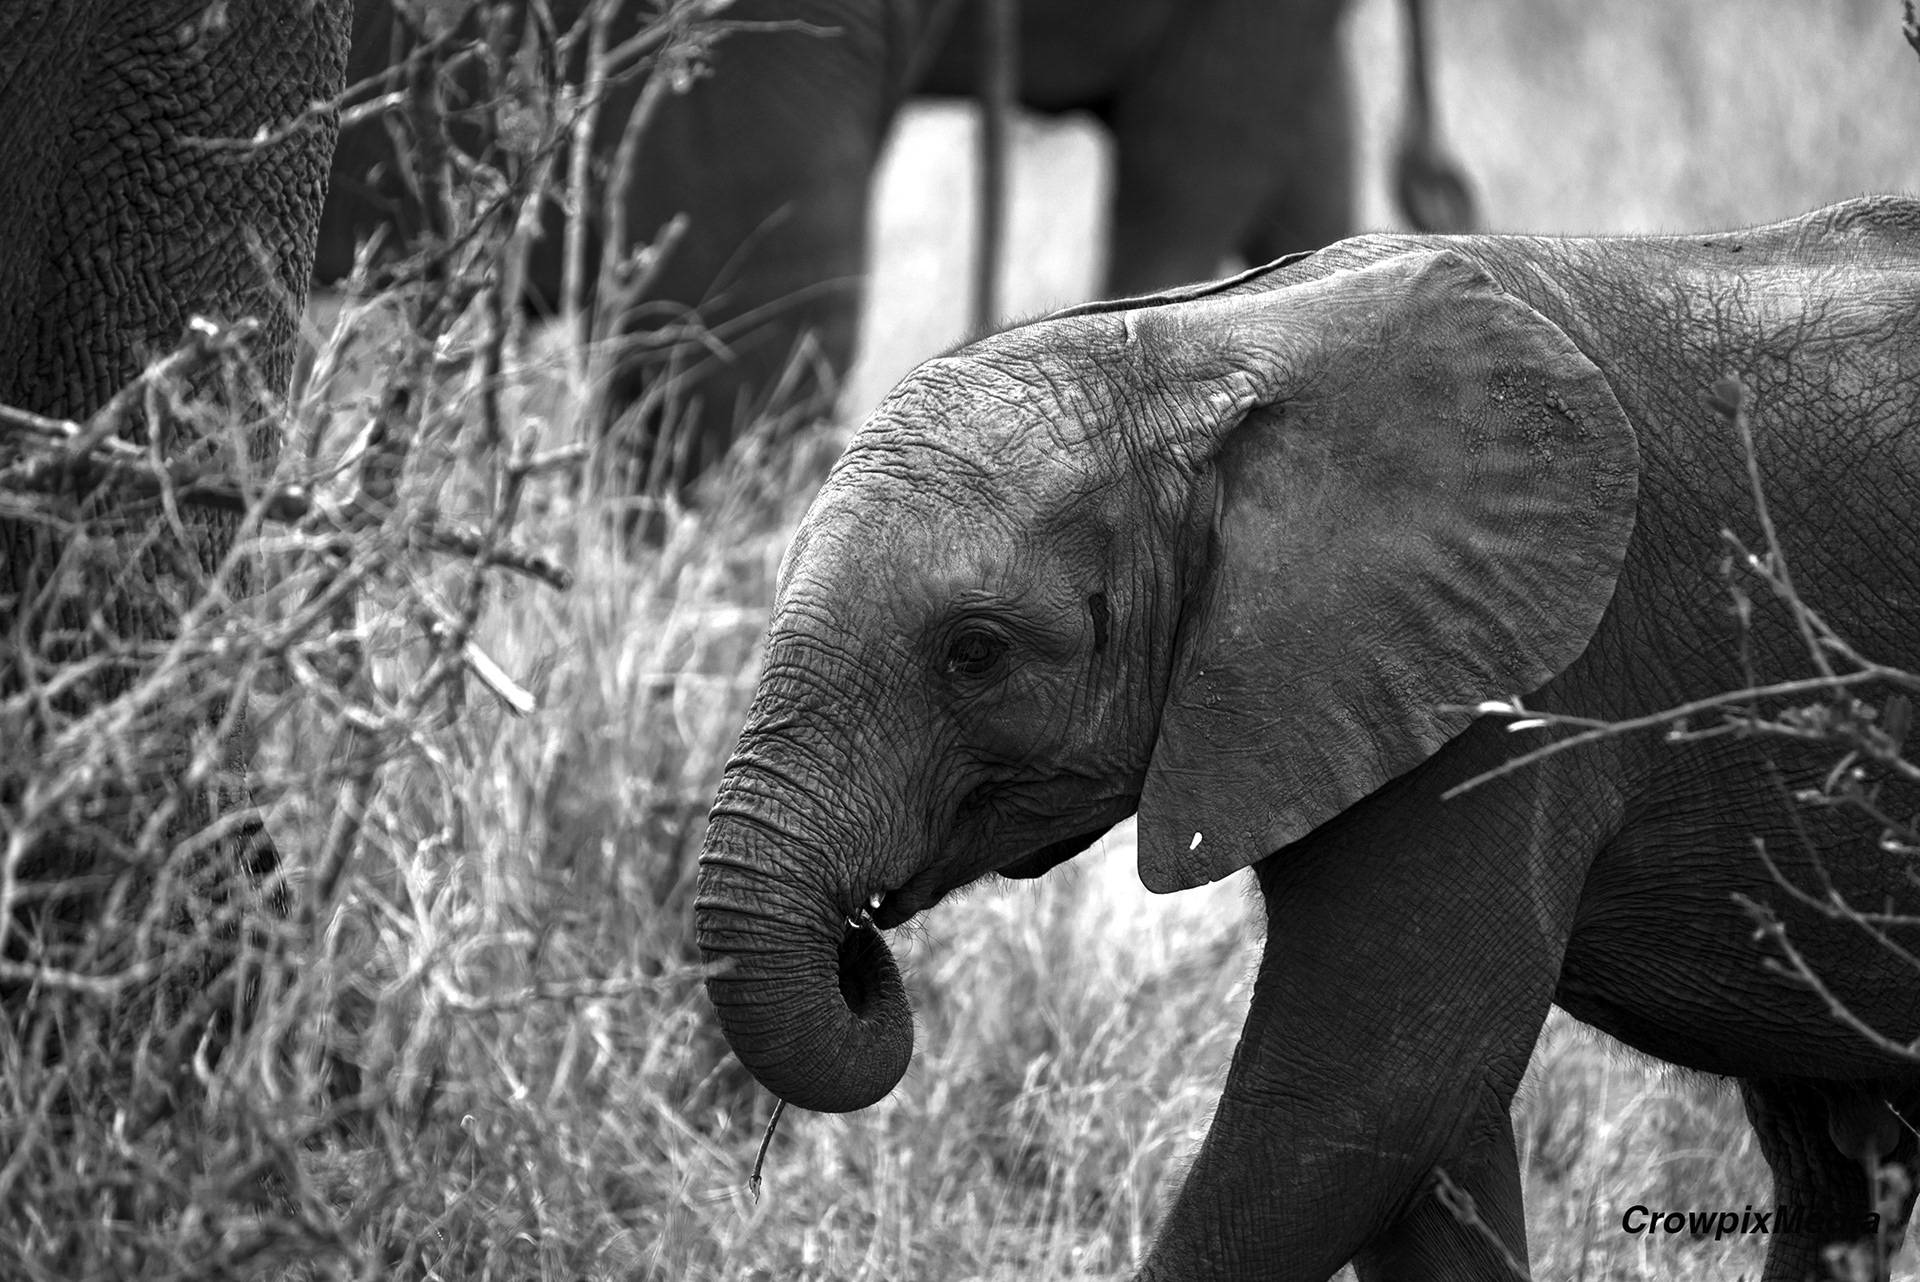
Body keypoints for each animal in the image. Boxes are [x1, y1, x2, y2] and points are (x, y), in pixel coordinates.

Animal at [698, 192, 1920, 1282]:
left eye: (975, 652)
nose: (859, 939)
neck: (1207, 346)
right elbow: (1427, 1157)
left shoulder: (1514, 682)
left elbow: (1354, 1111)